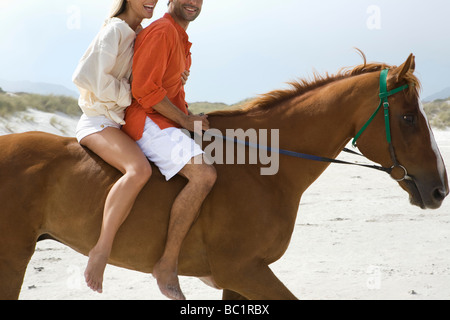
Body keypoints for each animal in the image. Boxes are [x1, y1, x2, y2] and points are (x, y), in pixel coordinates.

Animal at [0, 53, 446, 300]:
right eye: (408, 118)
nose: (440, 189)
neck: (264, 168)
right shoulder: (244, 270)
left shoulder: (242, 277)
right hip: (12, 258)